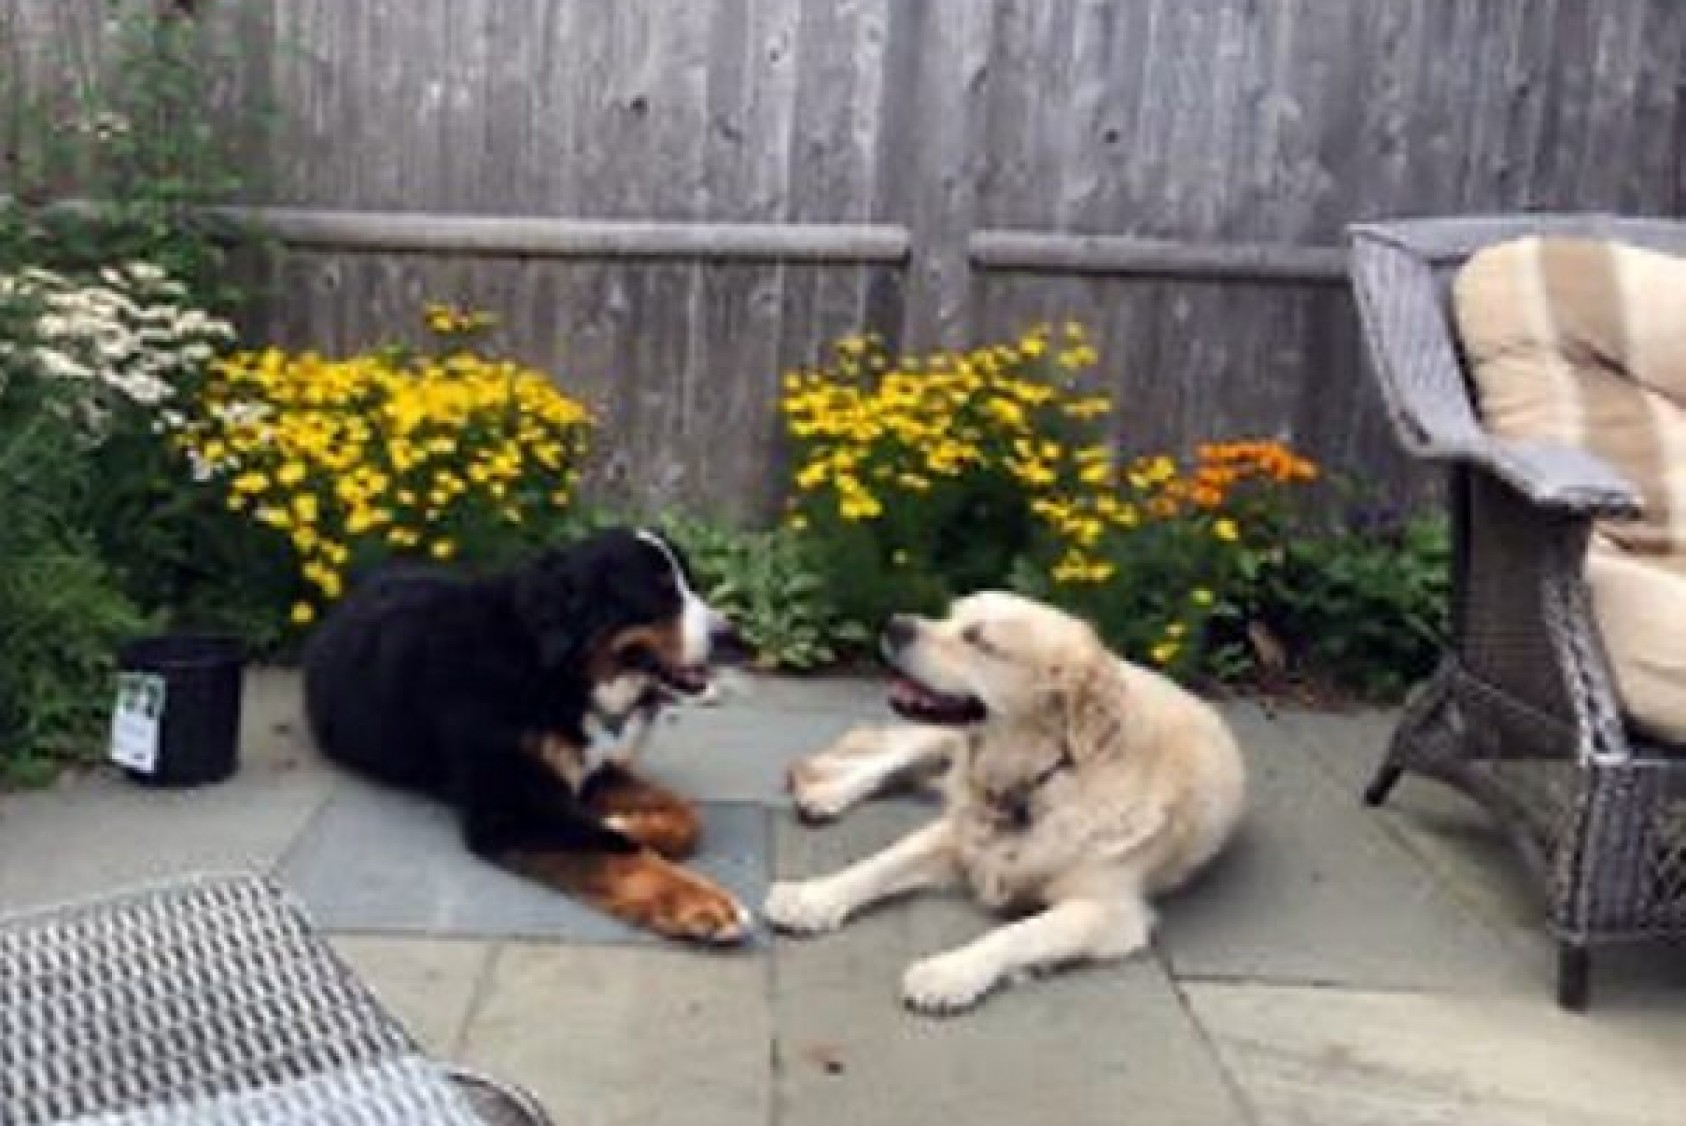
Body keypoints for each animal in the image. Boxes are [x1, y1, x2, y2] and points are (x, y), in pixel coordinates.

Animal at [305, 529, 751, 943]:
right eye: (658, 593)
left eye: (691, 584)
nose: (733, 638)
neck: (552, 669)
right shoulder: (513, 803)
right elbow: (610, 848)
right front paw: (701, 902)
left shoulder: (590, 766)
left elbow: (685, 815)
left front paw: (626, 823)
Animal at [762, 593, 1240, 1018]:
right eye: (950, 614)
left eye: (980, 640)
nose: (896, 623)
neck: (1042, 779)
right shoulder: (958, 833)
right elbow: (880, 864)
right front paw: (812, 898)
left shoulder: (1108, 912)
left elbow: (1017, 935)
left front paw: (947, 973)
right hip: (945, 740)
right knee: (897, 758)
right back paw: (826, 793)